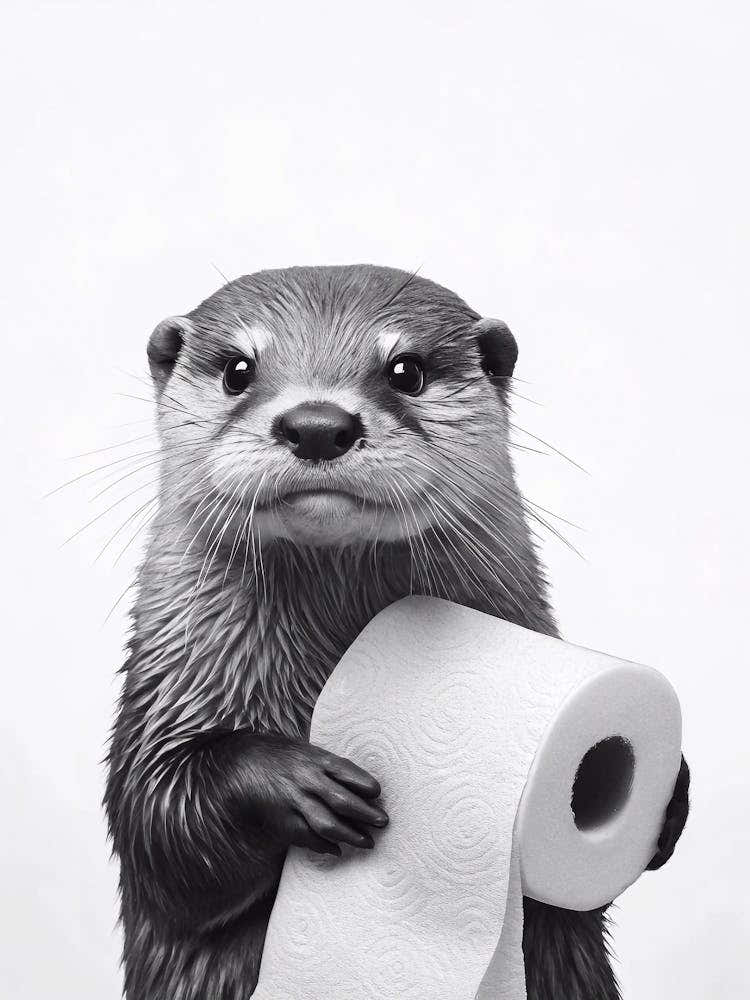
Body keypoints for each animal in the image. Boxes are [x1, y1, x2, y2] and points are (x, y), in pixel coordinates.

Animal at [104, 265, 689, 1000]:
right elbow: (157, 825)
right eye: (239, 369)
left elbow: (579, 902)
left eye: (405, 369)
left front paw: (671, 798)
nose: (317, 424)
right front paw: (294, 783)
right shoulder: (168, 687)